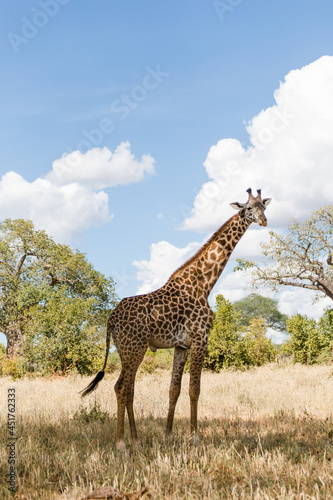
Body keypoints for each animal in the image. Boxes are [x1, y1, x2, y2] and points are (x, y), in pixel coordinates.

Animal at [81, 188, 272, 454]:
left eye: (263, 206)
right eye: (248, 208)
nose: (264, 221)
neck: (204, 284)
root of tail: (110, 320)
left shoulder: (181, 345)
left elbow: (174, 389)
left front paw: (169, 436)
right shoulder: (201, 338)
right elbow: (194, 389)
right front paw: (195, 438)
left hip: (126, 351)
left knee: (128, 388)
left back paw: (136, 440)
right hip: (134, 349)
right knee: (121, 387)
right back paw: (121, 444)